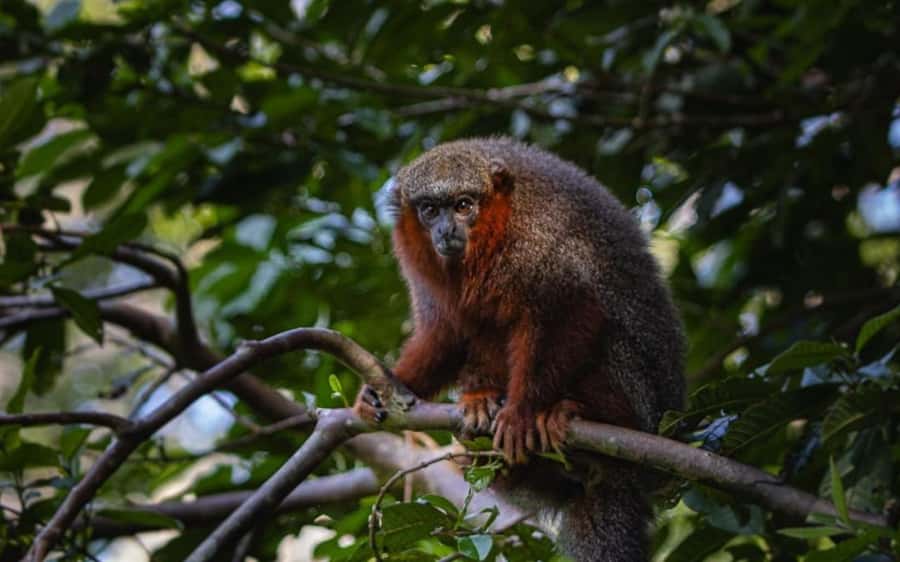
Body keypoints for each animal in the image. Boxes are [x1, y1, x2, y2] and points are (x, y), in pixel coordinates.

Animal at [355, 137, 685, 562]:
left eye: (463, 204)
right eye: (429, 210)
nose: (446, 229)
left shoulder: (539, 235)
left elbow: (568, 309)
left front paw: (523, 411)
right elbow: (445, 333)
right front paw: (388, 387)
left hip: (641, 405)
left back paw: (581, 412)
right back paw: (482, 405)